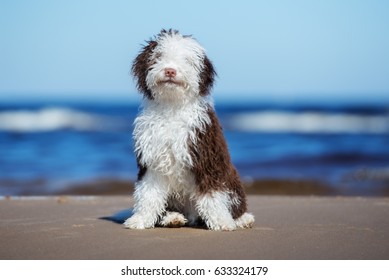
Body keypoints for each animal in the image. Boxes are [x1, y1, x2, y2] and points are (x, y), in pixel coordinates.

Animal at [123, 28, 253, 231]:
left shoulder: (206, 158)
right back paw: (172, 217)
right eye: (159, 56)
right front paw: (141, 219)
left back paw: (242, 218)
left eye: (187, 60)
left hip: (232, 181)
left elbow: (212, 194)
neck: (173, 107)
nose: (170, 70)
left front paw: (222, 221)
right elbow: (149, 193)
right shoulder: (153, 162)